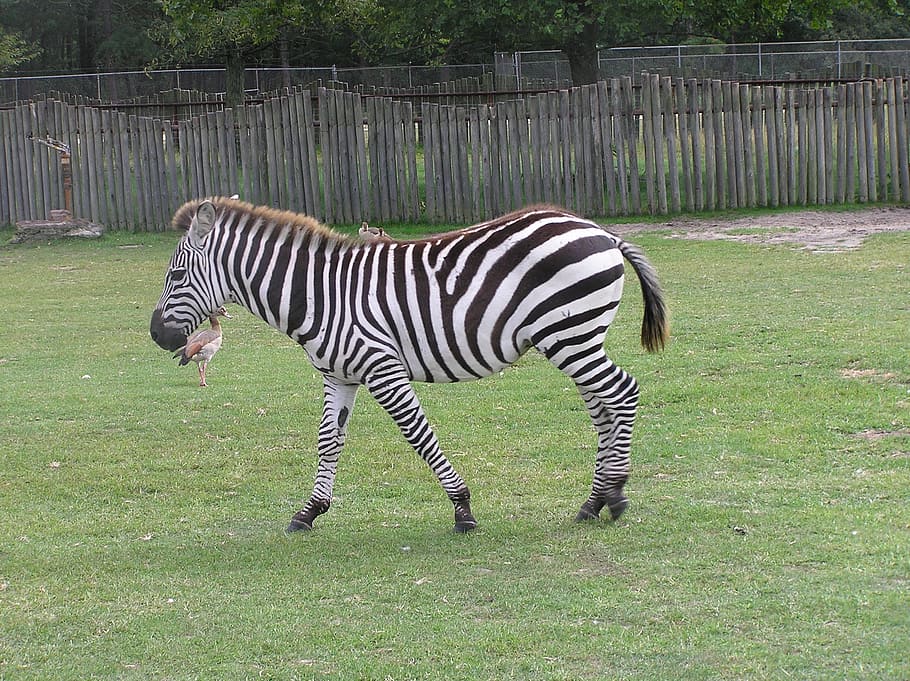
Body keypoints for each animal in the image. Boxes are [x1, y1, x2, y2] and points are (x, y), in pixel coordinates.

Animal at [150, 197, 669, 533]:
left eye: (177, 274)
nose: (156, 335)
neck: (319, 295)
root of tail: (601, 231)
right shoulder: (339, 375)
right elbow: (328, 442)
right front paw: (310, 511)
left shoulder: (382, 368)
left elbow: (419, 435)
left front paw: (462, 510)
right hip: (575, 339)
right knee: (603, 408)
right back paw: (593, 502)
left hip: (571, 336)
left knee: (622, 393)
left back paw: (614, 496)